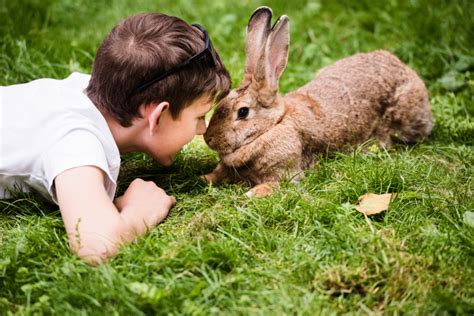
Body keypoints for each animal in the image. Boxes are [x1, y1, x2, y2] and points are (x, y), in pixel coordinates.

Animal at [202, 6, 432, 195]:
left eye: (243, 112)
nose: (208, 138)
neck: (273, 125)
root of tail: (405, 68)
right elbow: (217, 173)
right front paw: (203, 178)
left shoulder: (286, 172)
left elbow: (273, 184)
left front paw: (252, 194)